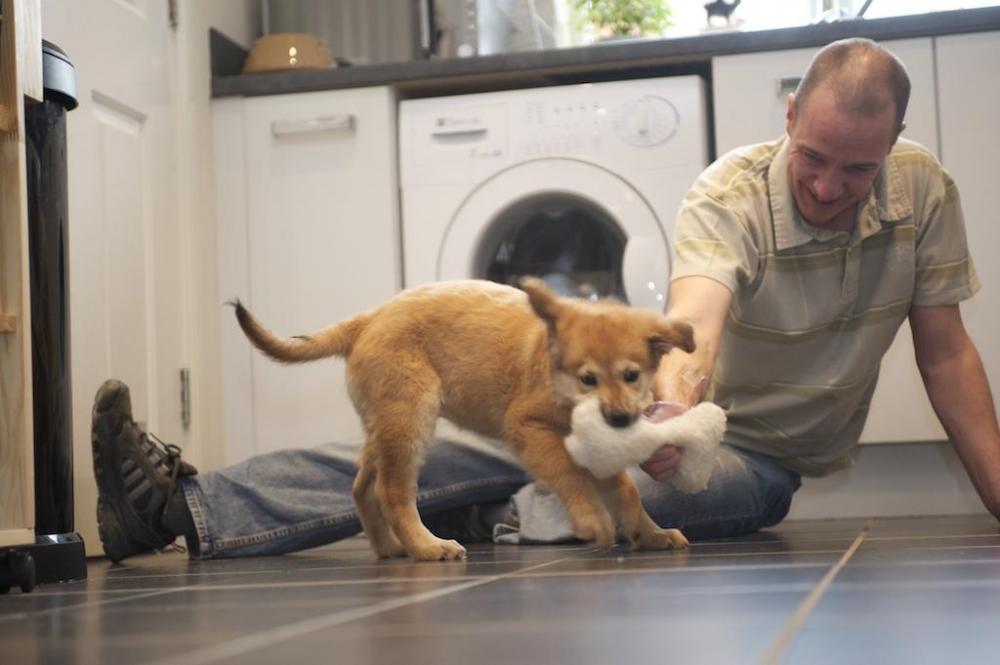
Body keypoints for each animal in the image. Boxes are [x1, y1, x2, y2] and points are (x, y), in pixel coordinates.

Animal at [232, 276, 696, 560]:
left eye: (632, 375)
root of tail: (368, 319)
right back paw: (426, 546)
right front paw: (591, 520)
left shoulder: (597, 450)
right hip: (411, 418)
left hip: (384, 423)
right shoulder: (527, 429)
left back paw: (390, 547)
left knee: (362, 486)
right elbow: (570, 475)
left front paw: (650, 534)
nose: (619, 419)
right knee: (392, 492)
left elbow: (626, 492)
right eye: (588, 379)